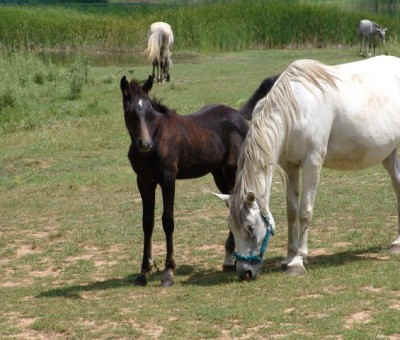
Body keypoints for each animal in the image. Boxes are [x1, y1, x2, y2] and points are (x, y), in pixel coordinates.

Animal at [216, 55, 400, 278]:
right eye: (231, 227)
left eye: (250, 228)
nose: (245, 273)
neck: (294, 111)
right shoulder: (290, 167)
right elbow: (292, 211)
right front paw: (289, 257)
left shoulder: (312, 163)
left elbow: (305, 211)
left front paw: (298, 260)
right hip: (390, 155)